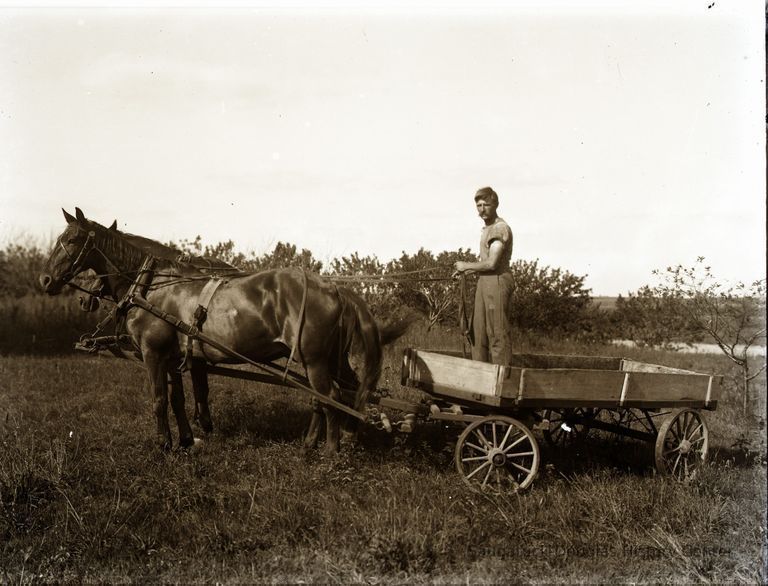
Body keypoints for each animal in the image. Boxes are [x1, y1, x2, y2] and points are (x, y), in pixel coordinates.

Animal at [40, 208, 414, 454]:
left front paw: (163, 444)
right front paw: (186, 440)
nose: (45, 279)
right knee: (348, 392)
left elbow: (159, 400)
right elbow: (179, 399)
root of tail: (333, 288)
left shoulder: (153, 353)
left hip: (316, 360)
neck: (152, 286)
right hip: (331, 359)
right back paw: (334, 439)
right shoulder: (175, 356)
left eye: (71, 239)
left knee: (331, 396)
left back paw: (330, 451)